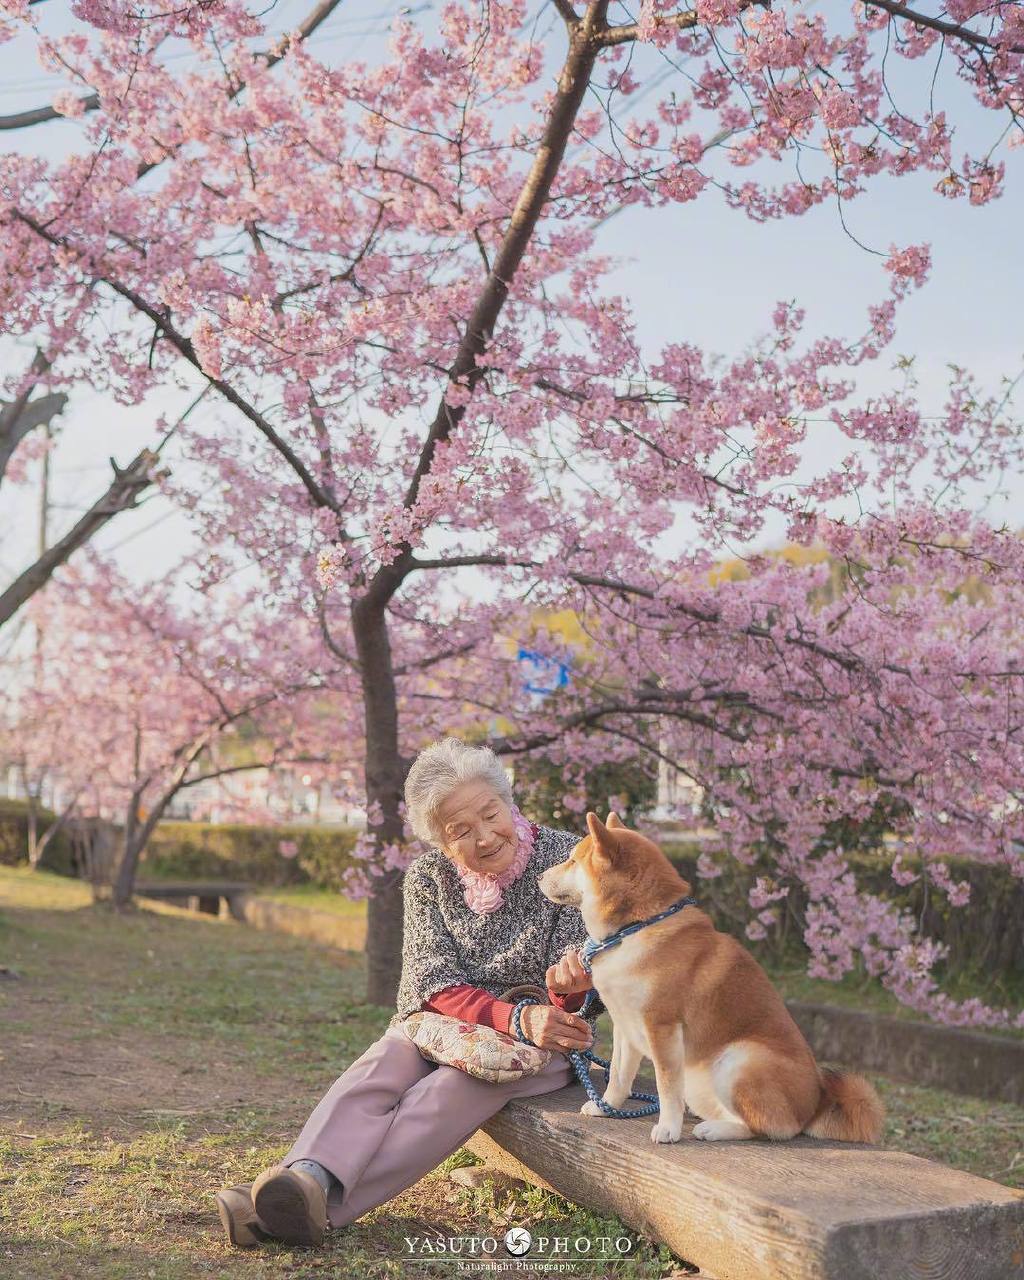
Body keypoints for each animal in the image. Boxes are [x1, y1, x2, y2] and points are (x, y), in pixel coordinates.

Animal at [540, 814, 885, 1146]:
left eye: (572, 860)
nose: (541, 875)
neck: (636, 928)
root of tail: (816, 1102)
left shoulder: (662, 1027)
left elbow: (666, 1086)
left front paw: (668, 1128)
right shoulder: (626, 1024)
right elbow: (619, 1076)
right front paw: (606, 1107)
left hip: (739, 1061)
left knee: (772, 1128)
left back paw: (715, 1130)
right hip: (703, 1080)